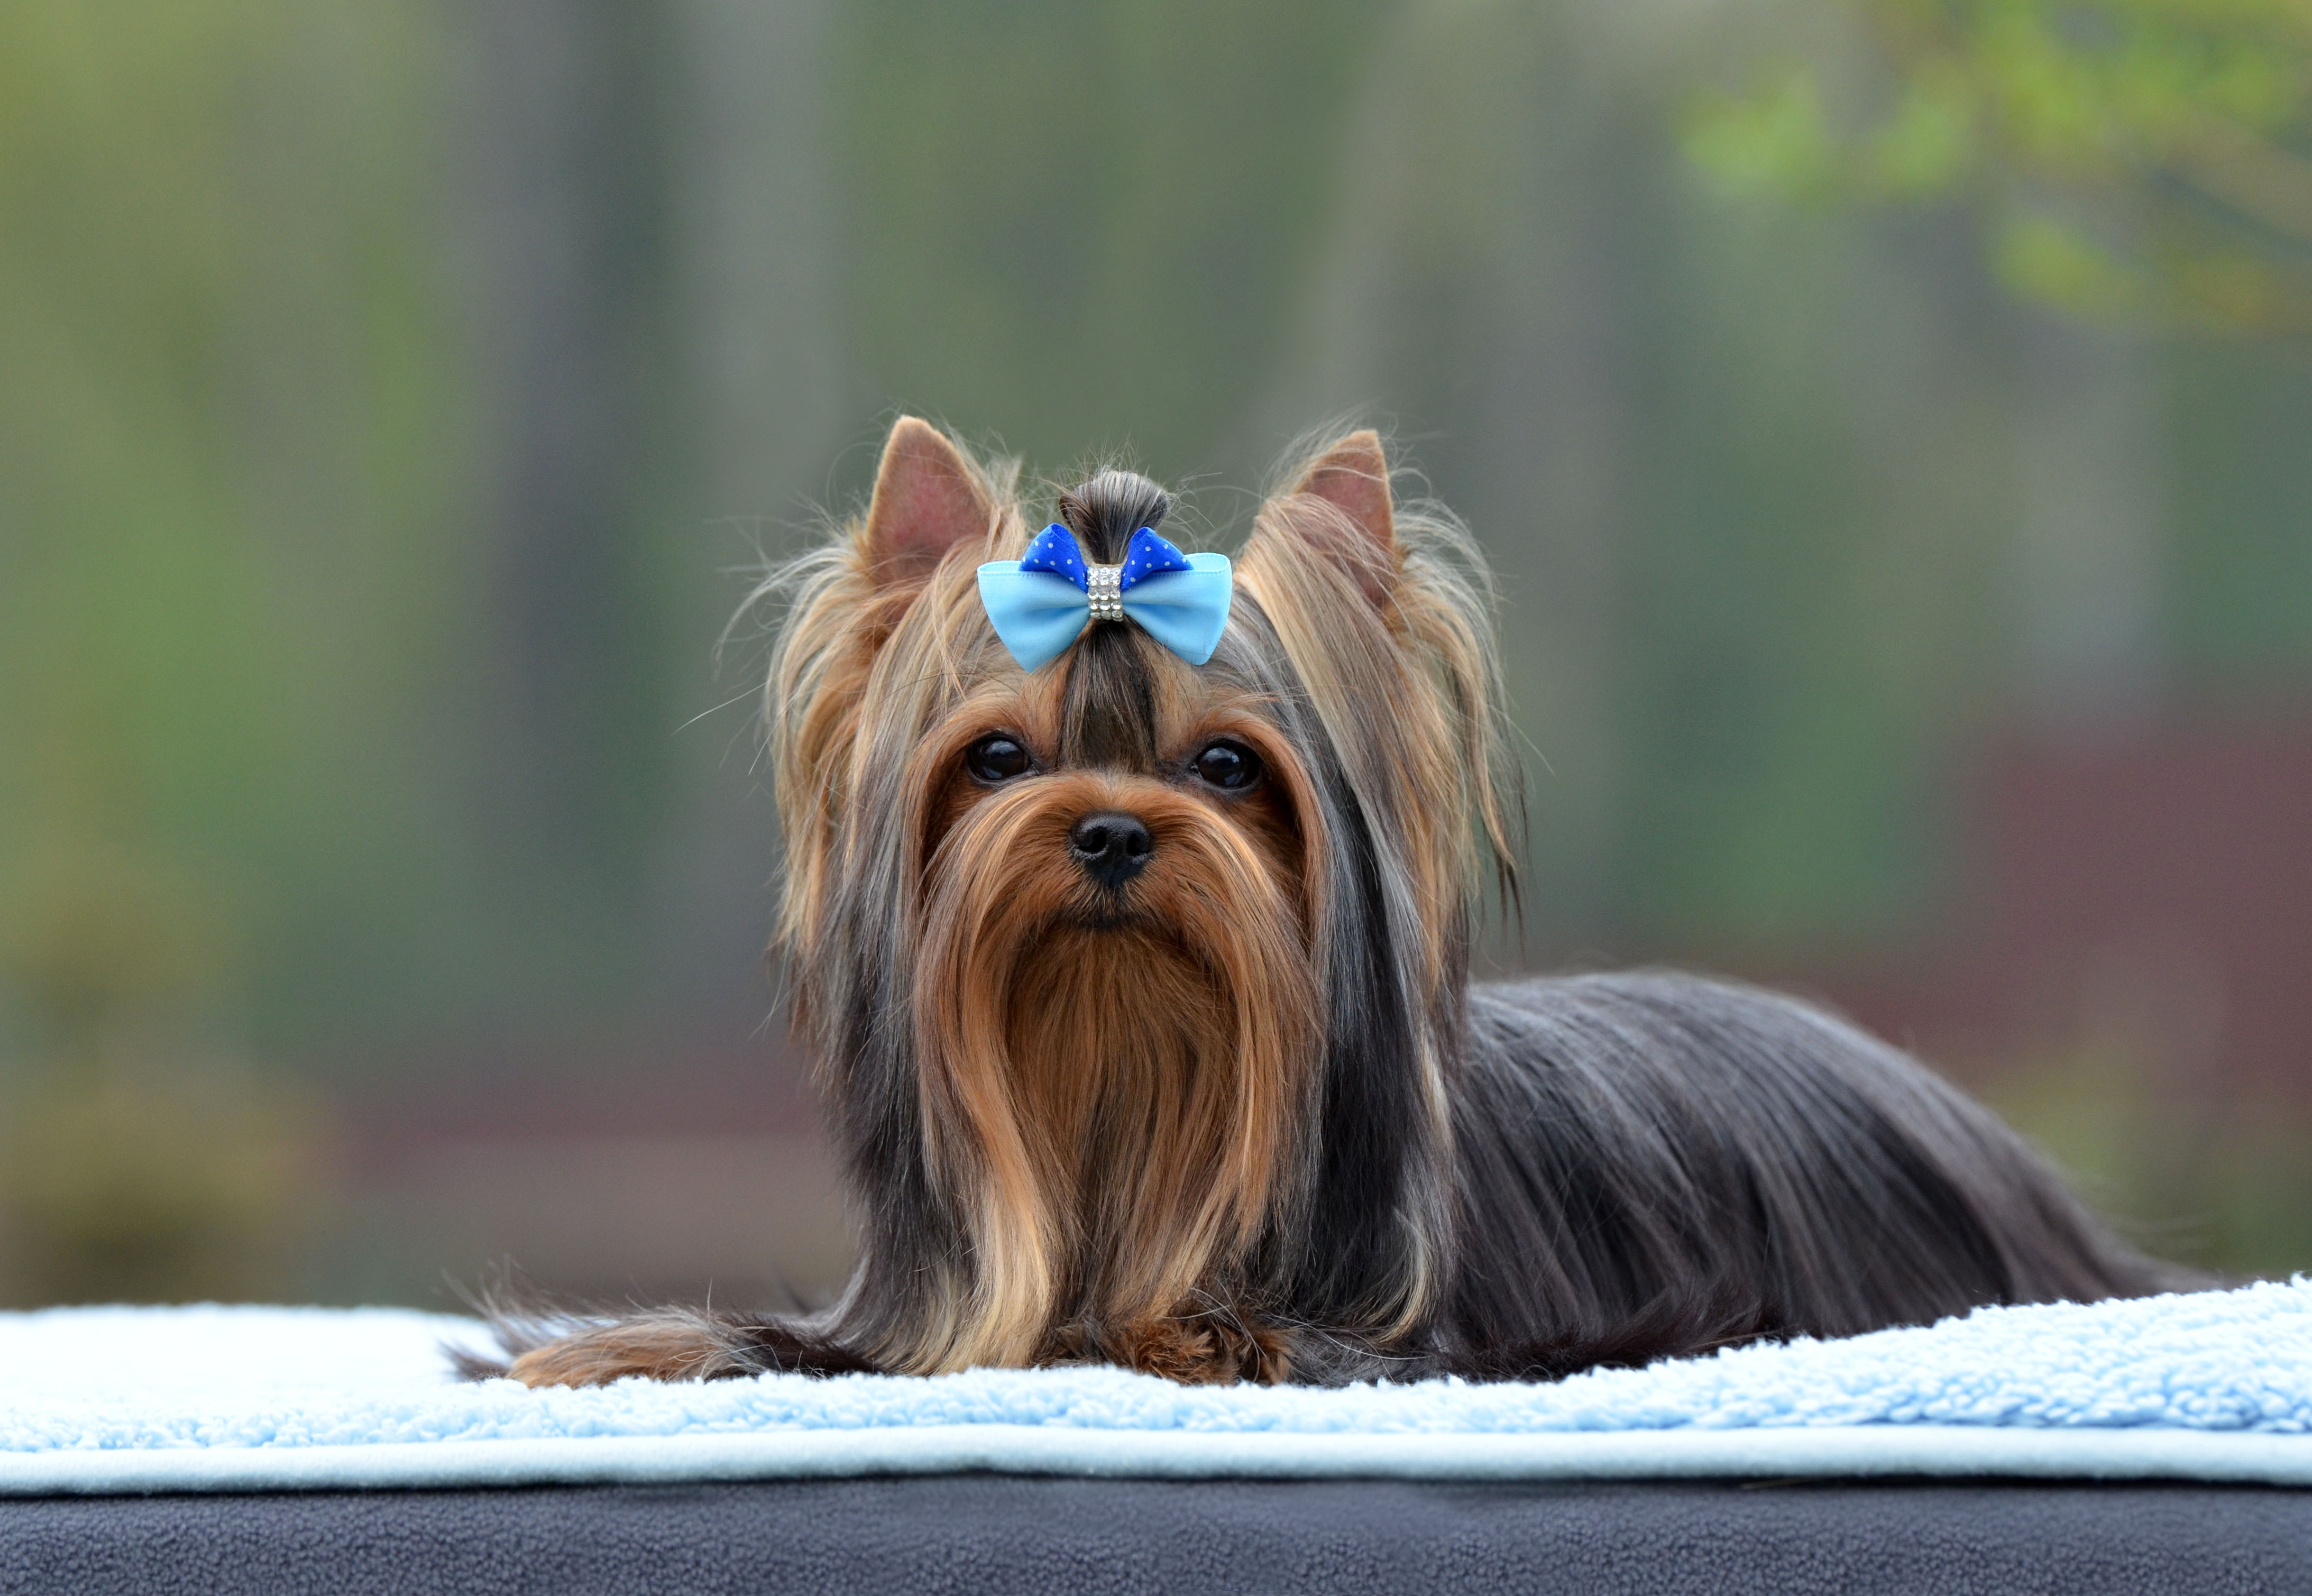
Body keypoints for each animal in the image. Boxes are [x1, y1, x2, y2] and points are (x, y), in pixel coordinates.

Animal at [471, 416, 2187, 1389]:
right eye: (998, 756)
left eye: (1228, 765)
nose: (1108, 830)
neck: (1120, 1104)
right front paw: (596, 1352)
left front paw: (1185, 1329)